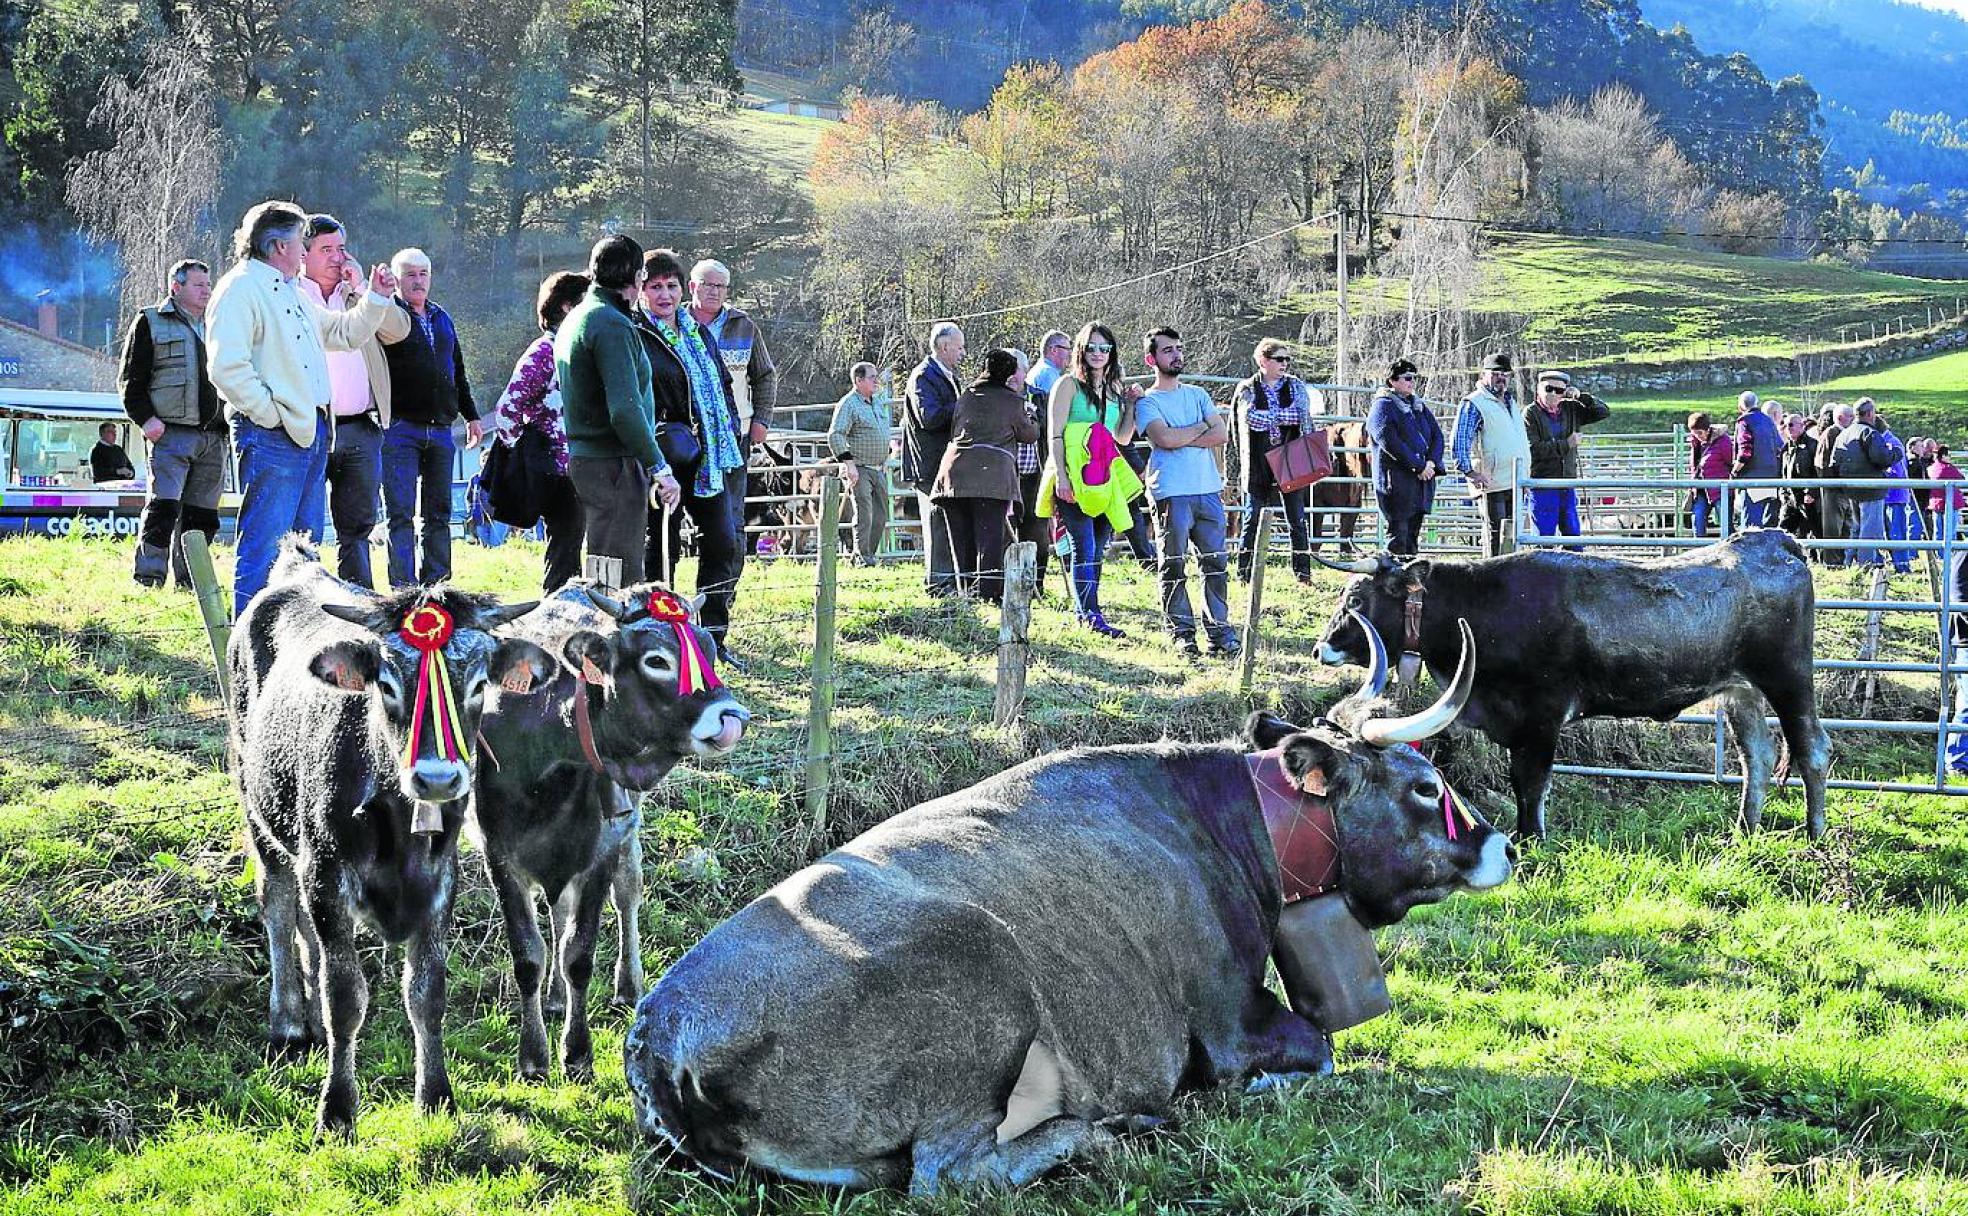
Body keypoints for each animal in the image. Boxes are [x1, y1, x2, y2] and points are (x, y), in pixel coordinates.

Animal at [231, 539, 554, 1125]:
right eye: (386, 684)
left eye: (478, 685)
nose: (437, 777)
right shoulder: (327, 872)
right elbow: (345, 996)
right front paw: (337, 1107)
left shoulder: (440, 880)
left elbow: (426, 992)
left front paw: (436, 1094)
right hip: (257, 806)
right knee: (279, 907)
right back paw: (288, 1021)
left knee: (307, 936)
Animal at [472, 578, 747, 1078]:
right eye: (656, 660)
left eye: (709, 649)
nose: (734, 718)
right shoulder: (497, 851)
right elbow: (529, 955)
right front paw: (533, 1055)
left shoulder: (601, 848)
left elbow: (578, 953)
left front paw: (577, 1052)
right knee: (558, 914)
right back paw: (555, 999)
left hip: (626, 832)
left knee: (628, 895)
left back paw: (627, 984)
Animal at [1314, 527, 1834, 838]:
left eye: (1356, 599)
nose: (1321, 649)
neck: (1487, 607)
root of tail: (1773, 541)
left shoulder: (1541, 716)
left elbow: (1530, 783)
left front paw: (1530, 839)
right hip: (1742, 691)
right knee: (1758, 755)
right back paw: (1745, 828)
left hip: (1788, 679)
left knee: (1812, 750)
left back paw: (1814, 832)